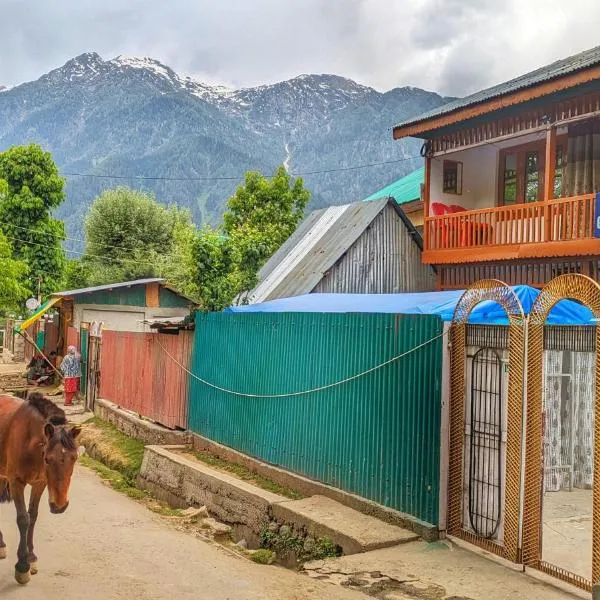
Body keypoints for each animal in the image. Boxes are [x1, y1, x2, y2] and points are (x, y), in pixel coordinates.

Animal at [0, 392, 80, 584]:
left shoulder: (40, 483)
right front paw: (22, 566)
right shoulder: (15, 482)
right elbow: (23, 519)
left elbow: (33, 516)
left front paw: (31, 557)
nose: (60, 505)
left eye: (74, 458)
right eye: (47, 459)